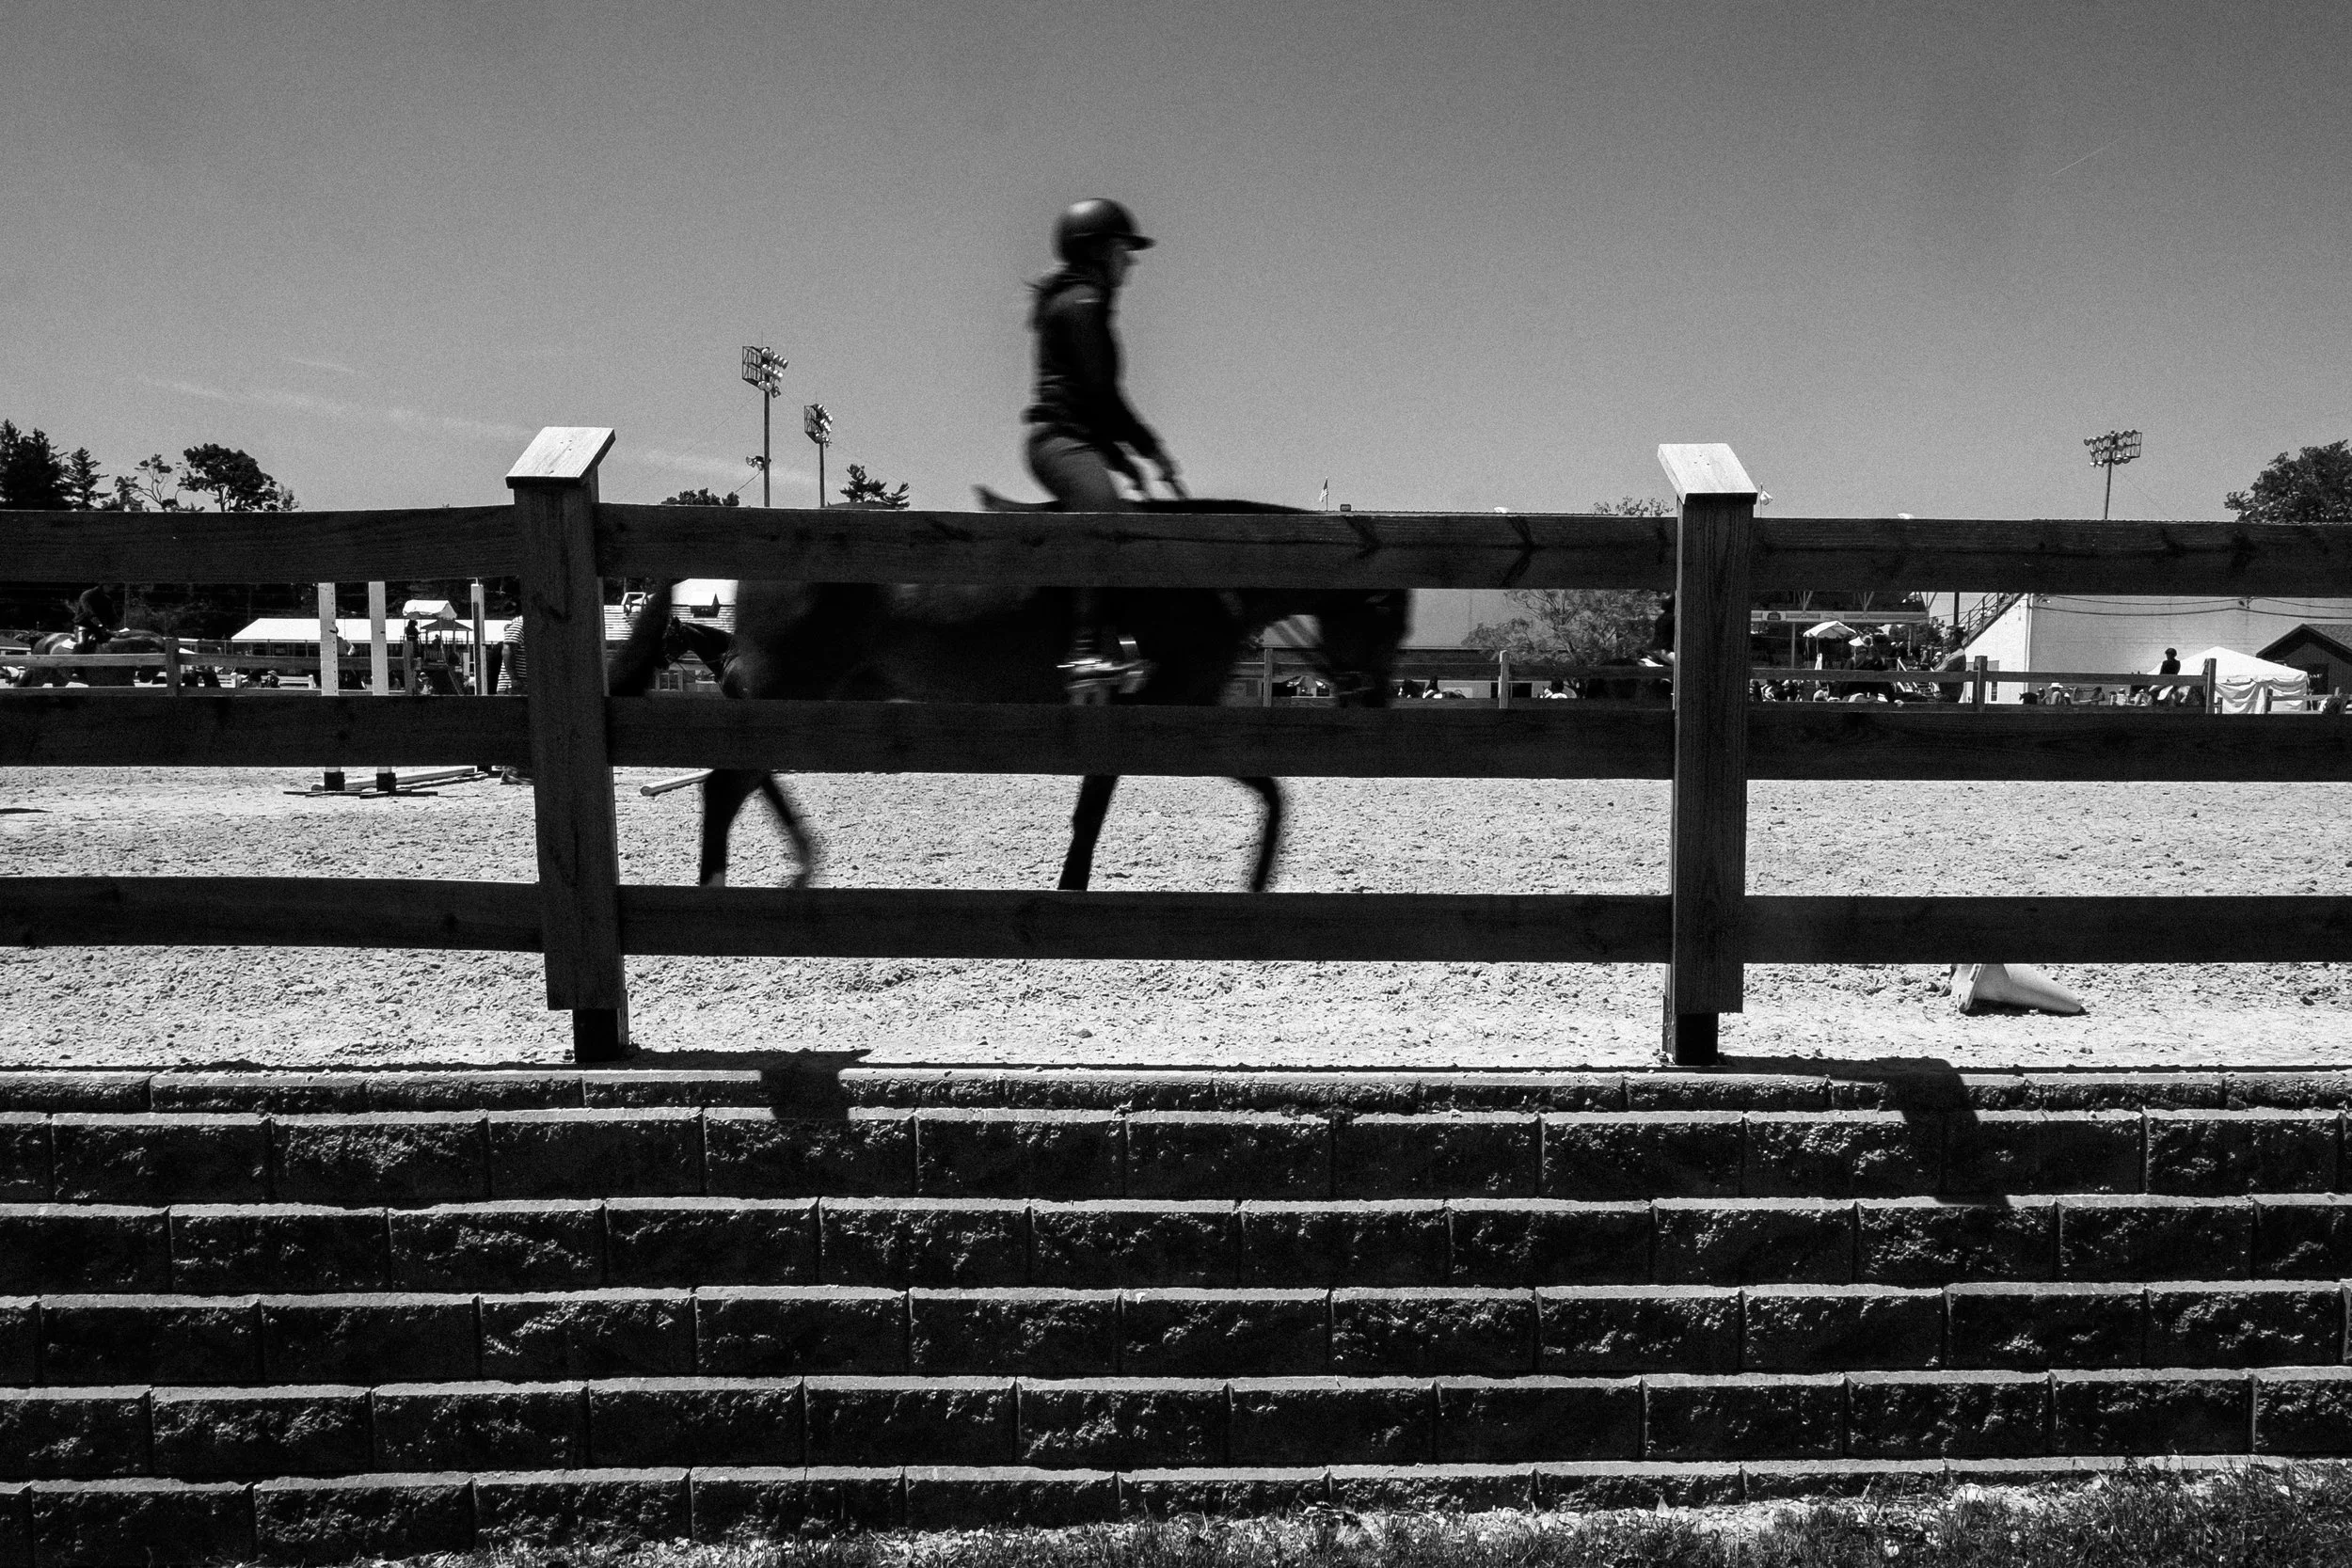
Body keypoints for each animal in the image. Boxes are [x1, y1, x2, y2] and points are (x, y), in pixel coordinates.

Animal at [607, 494, 1409, 893]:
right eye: (1383, 615)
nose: (1373, 701)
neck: (1206, 580)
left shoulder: (1192, 713)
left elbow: (1265, 789)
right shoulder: (1154, 710)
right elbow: (1100, 804)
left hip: (813, 693)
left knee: (745, 776)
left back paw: (799, 861)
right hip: (792, 686)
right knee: (726, 783)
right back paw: (724, 881)